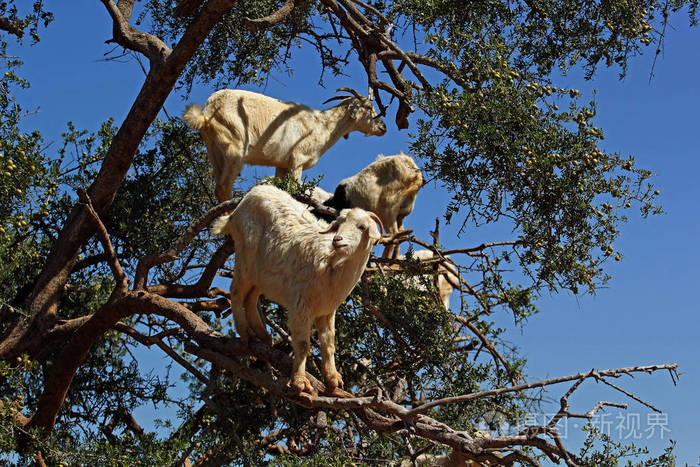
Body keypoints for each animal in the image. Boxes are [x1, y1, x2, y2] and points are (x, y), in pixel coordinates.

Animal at [183, 89, 386, 203]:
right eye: (368, 108)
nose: (383, 127)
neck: (322, 124)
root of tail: (206, 113)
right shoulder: (298, 159)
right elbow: (294, 188)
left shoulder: (281, 164)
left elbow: (280, 187)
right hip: (235, 148)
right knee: (223, 186)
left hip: (214, 152)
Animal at [211, 185, 382, 394]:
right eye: (339, 224)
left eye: (362, 227)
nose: (337, 240)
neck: (332, 265)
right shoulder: (301, 305)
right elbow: (302, 344)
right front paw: (300, 382)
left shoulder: (327, 311)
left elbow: (329, 343)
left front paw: (334, 379)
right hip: (245, 256)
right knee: (236, 291)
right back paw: (245, 332)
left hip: (261, 274)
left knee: (251, 297)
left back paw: (262, 335)